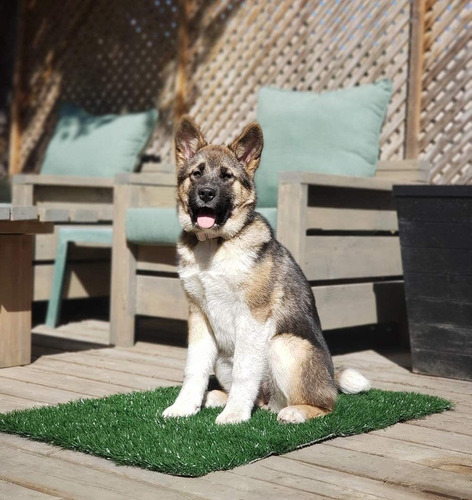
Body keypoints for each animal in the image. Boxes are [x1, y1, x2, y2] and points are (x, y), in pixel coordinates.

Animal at [164, 117, 370, 426]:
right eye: (196, 174)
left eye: (227, 176)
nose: (206, 193)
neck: (215, 245)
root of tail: (331, 379)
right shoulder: (199, 315)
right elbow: (194, 367)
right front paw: (185, 407)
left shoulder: (253, 315)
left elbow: (245, 371)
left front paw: (234, 415)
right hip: (224, 355)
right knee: (260, 399)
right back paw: (218, 398)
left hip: (283, 345)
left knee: (325, 405)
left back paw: (294, 411)